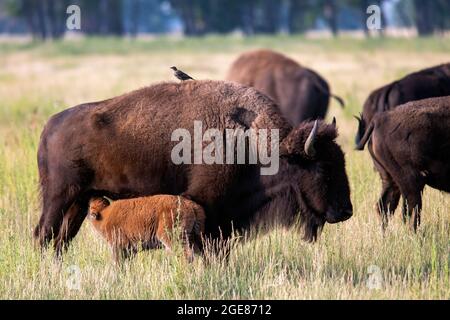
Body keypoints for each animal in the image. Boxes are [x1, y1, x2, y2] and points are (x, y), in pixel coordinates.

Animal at [34, 80, 352, 255]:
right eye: (323, 169)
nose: (346, 211)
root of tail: (49, 127)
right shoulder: (209, 209)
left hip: (79, 200)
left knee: (61, 240)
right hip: (58, 196)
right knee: (44, 234)